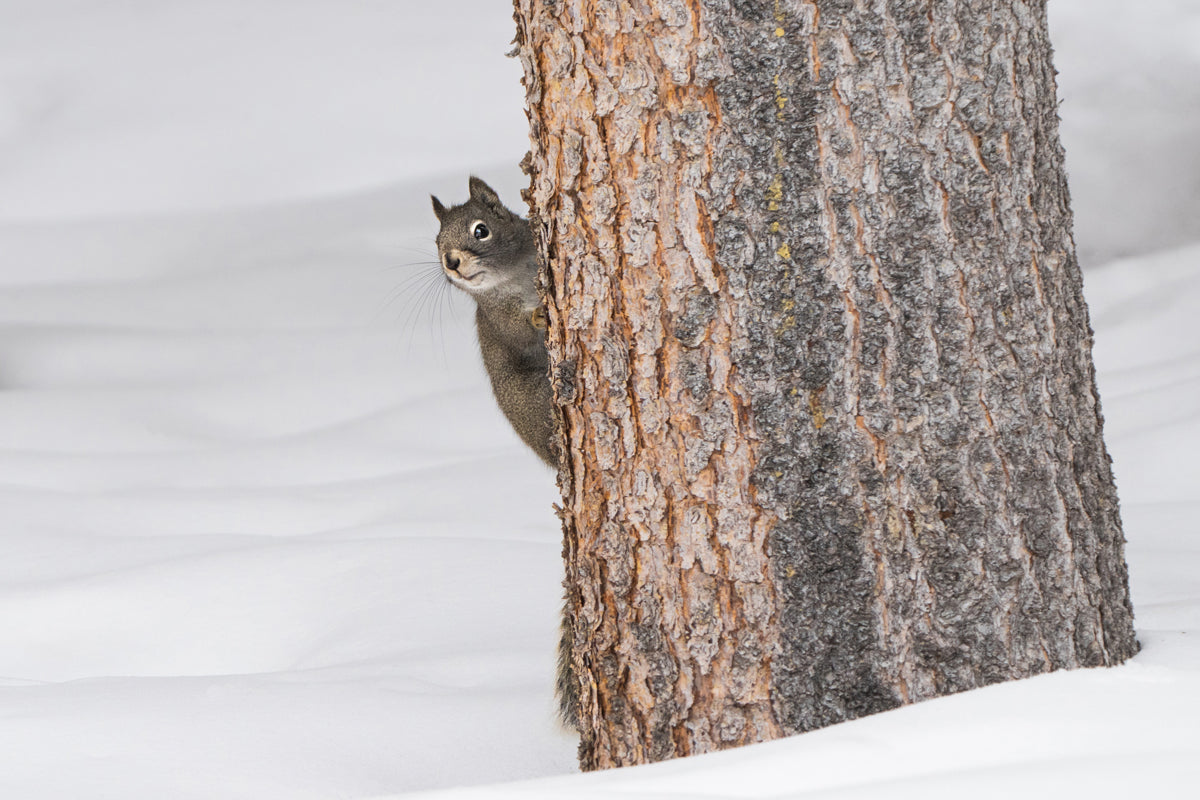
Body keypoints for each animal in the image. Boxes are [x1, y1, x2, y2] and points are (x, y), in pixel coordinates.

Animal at [432, 178, 580, 729]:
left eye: (481, 229)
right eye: (437, 242)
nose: (452, 262)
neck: (511, 278)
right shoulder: (501, 323)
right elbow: (521, 327)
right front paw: (539, 312)